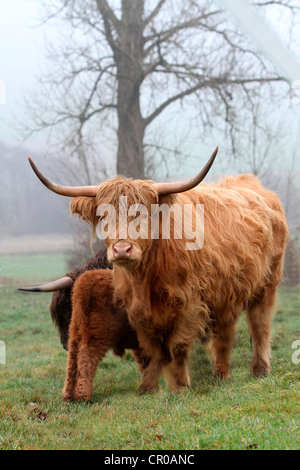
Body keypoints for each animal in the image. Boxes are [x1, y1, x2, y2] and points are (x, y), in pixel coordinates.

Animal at [27, 150, 288, 392]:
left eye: (143, 213)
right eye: (103, 215)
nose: (122, 249)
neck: (146, 278)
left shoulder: (190, 305)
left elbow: (177, 347)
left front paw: (180, 386)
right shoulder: (137, 312)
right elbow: (150, 350)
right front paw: (148, 387)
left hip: (267, 284)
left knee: (260, 324)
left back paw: (259, 370)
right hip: (227, 292)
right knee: (224, 332)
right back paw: (219, 373)